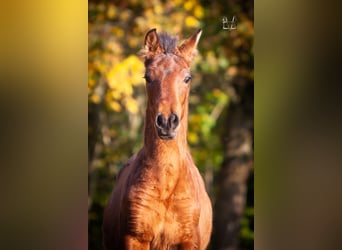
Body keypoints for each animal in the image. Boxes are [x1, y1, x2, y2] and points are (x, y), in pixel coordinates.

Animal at [103, 28, 212, 249]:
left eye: (187, 78)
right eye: (147, 77)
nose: (167, 122)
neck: (166, 186)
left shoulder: (189, 242)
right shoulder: (135, 239)